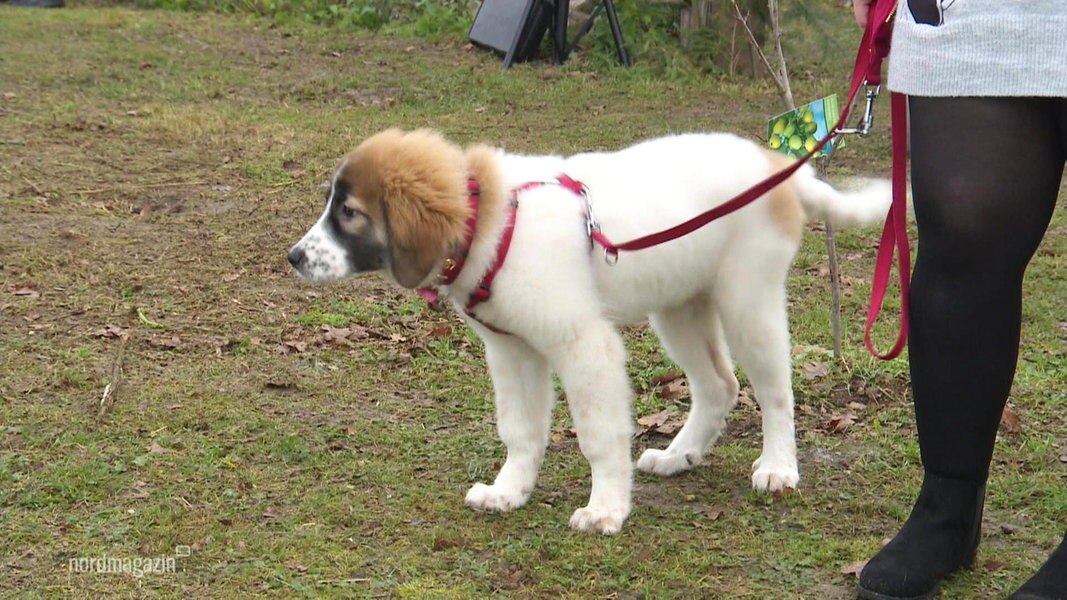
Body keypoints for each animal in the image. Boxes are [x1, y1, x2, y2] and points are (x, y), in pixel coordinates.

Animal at [285, 127, 892, 531]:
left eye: (350, 213)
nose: (293, 257)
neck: (489, 220)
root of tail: (776, 164)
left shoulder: (583, 346)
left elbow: (599, 436)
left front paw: (606, 509)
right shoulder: (513, 352)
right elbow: (520, 430)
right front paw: (510, 491)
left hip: (748, 302)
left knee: (774, 391)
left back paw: (778, 467)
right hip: (679, 306)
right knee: (720, 385)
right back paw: (679, 456)